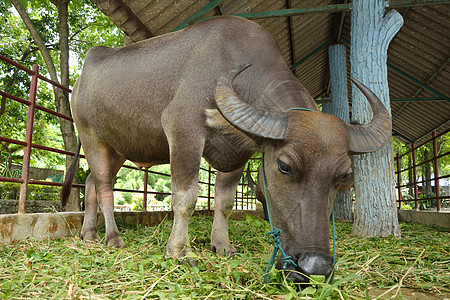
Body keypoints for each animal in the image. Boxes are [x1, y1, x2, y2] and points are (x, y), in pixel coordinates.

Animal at [61, 16, 392, 284]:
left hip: (119, 148)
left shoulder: (238, 153)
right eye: (284, 166)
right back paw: (112, 237)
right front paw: (179, 251)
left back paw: (88, 234)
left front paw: (222, 245)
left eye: (345, 177)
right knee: (104, 186)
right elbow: (186, 198)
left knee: (90, 182)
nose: (315, 267)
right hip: (90, 136)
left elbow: (225, 202)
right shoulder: (183, 129)